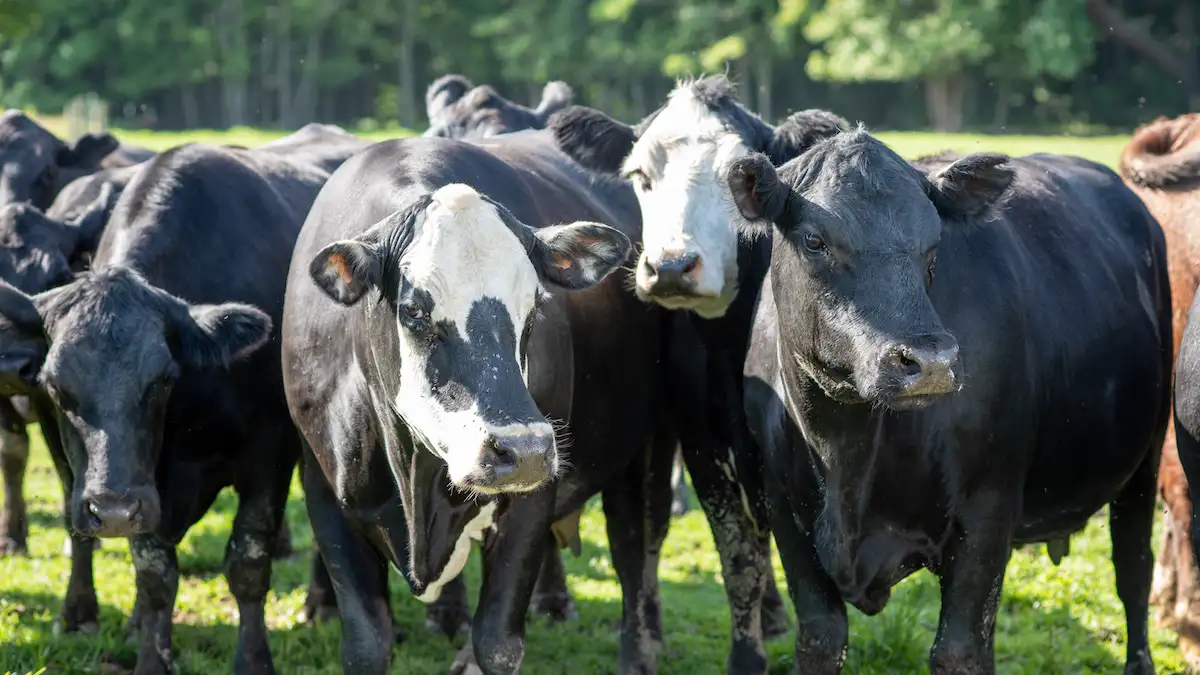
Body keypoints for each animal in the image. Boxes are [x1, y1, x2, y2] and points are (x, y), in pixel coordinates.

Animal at [549, 76, 849, 667]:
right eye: (640, 176)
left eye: (740, 178)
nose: (669, 266)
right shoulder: (704, 445)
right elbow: (738, 561)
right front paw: (744, 658)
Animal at [715, 127, 1166, 672]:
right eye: (814, 240)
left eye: (932, 246)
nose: (930, 361)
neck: (845, 452)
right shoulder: (782, 509)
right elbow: (821, 638)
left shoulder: (988, 511)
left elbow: (959, 649)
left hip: (1146, 460)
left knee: (1134, 570)